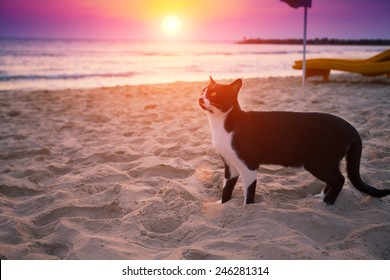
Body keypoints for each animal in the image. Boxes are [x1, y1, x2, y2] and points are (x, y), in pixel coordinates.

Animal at [200, 77, 388, 205]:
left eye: (214, 93)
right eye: (203, 90)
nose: (201, 98)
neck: (221, 125)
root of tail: (351, 127)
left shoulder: (248, 166)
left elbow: (248, 193)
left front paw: (247, 208)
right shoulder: (230, 166)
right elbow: (226, 189)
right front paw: (223, 205)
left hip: (318, 162)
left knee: (339, 179)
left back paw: (326, 202)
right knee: (335, 179)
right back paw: (321, 197)